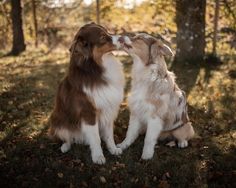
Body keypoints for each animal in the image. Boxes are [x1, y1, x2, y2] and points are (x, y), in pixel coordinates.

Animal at [49, 23, 124, 164]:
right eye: (102, 37)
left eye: (107, 31)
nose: (123, 38)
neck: (95, 70)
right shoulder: (88, 112)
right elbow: (95, 138)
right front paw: (98, 156)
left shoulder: (108, 109)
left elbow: (109, 135)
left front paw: (113, 149)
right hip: (58, 119)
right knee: (67, 138)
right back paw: (65, 146)